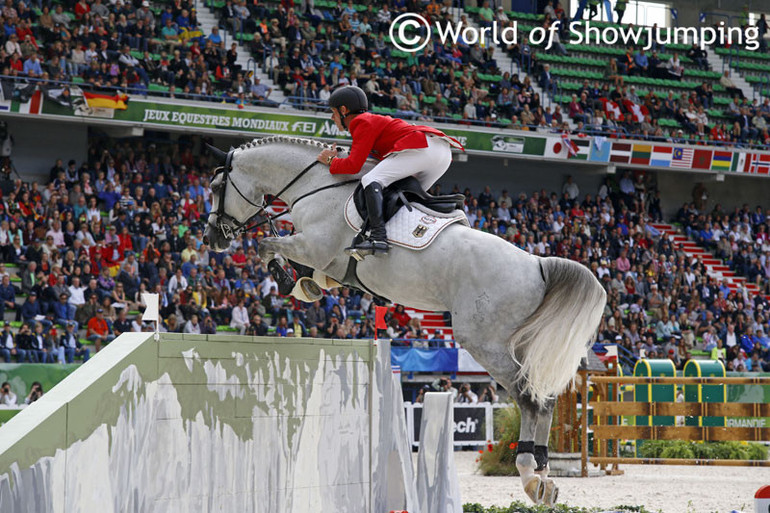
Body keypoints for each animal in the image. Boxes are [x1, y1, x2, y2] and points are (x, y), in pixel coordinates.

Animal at [204, 135, 608, 504]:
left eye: (216, 188)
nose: (212, 239)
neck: (314, 185)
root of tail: (538, 264)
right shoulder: (328, 261)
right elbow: (312, 273)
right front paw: (308, 287)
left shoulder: (313, 247)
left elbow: (265, 247)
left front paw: (290, 281)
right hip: (520, 344)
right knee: (546, 397)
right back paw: (545, 475)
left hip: (485, 343)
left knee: (528, 398)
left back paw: (529, 475)